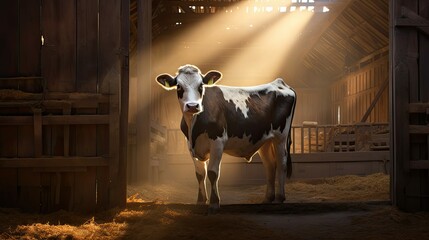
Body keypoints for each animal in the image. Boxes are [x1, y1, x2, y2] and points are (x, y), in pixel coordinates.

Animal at [155, 64, 296, 212]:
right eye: (179, 87)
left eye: (201, 86)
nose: (193, 106)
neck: (194, 126)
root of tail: (280, 83)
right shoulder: (190, 144)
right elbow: (200, 174)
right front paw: (200, 201)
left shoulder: (217, 142)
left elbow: (212, 173)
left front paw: (214, 203)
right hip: (265, 141)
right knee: (270, 165)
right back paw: (268, 199)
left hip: (281, 137)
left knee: (281, 163)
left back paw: (279, 198)